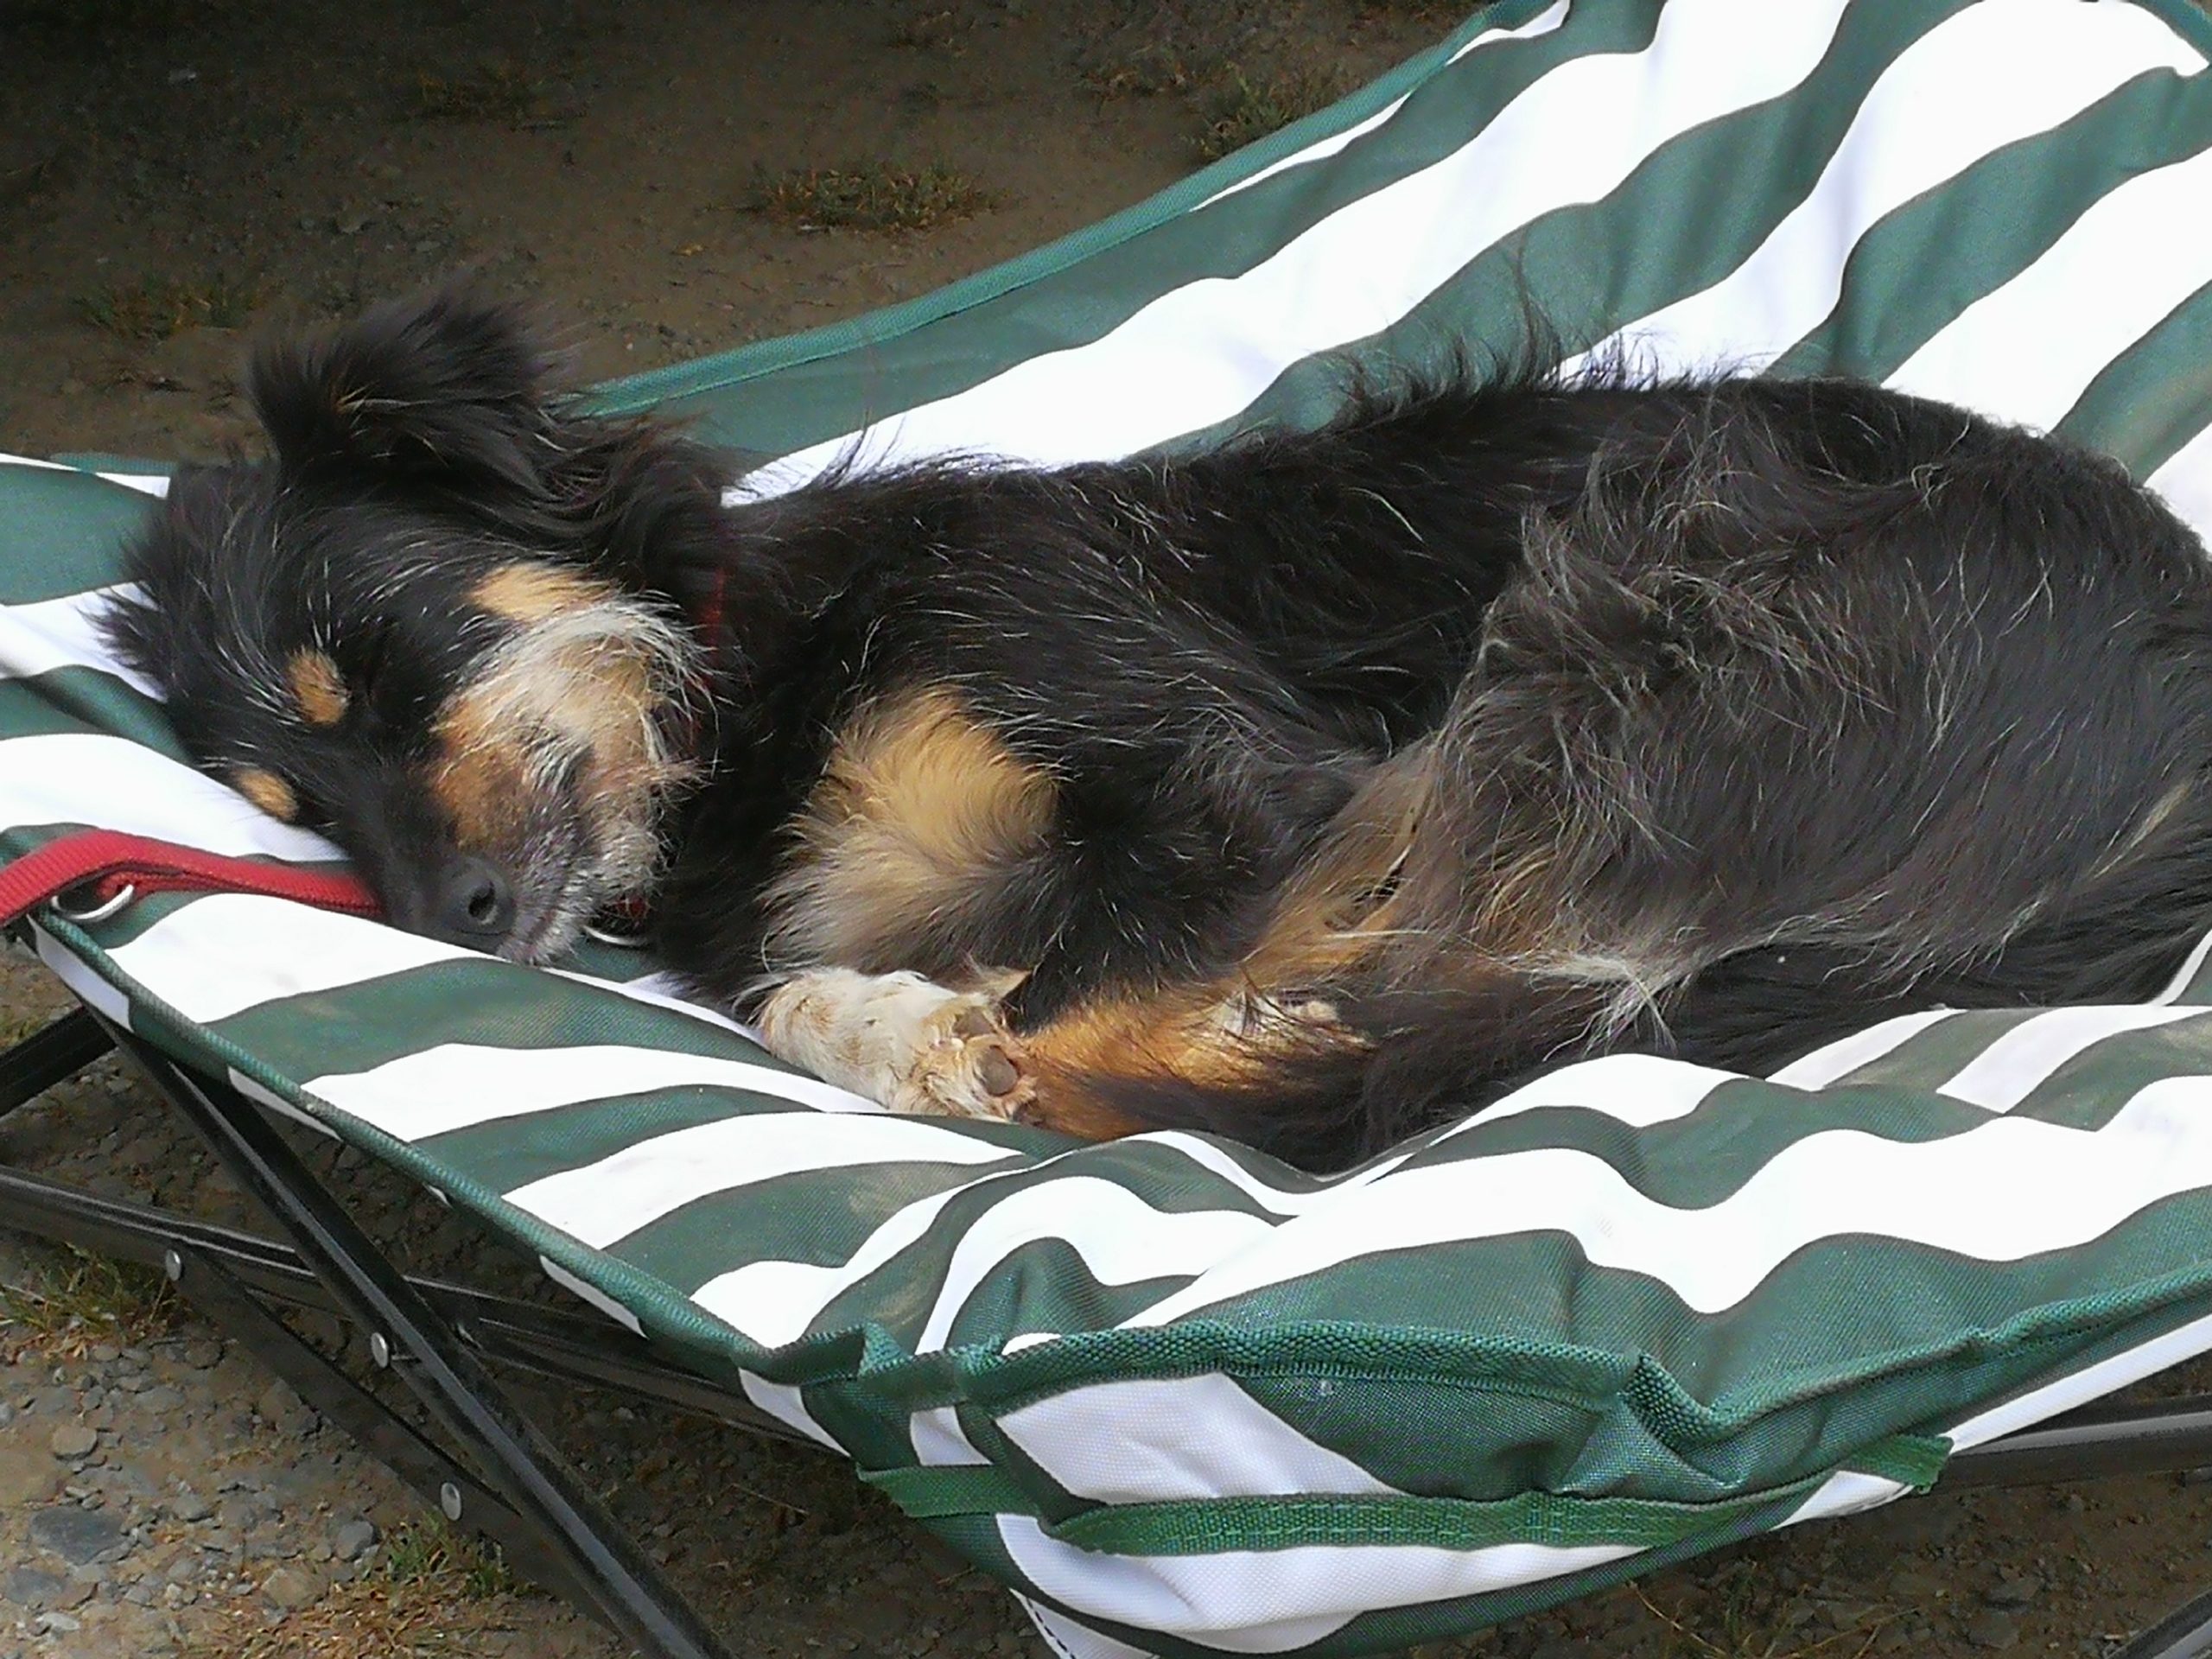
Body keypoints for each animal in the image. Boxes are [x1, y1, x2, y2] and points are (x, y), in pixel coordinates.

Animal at [100, 285, 2212, 1170]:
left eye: (378, 656)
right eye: (287, 795)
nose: (435, 920)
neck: (755, 683)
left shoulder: (1238, 770)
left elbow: (1078, 1010)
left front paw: (938, 1032)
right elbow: (892, 986)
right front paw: (878, 1012)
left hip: (1631, 600)